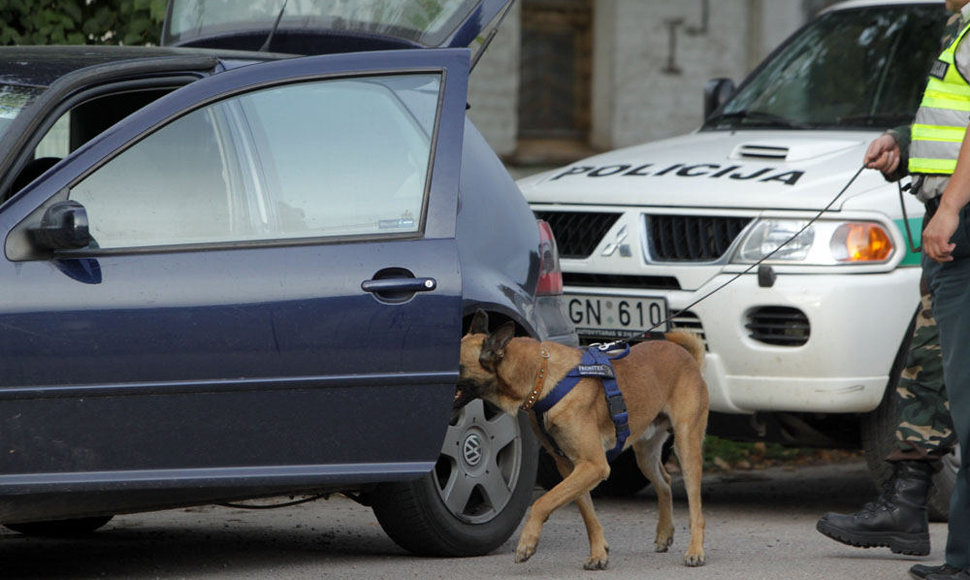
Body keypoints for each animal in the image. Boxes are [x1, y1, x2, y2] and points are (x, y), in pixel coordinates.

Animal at [458, 310, 708, 568]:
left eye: (457, 367)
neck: (542, 375)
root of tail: (688, 359)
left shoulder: (593, 466)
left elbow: (543, 502)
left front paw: (527, 542)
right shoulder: (571, 467)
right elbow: (587, 513)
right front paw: (598, 553)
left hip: (686, 448)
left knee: (696, 511)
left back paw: (695, 550)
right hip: (645, 454)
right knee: (665, 482)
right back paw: (664, 533)